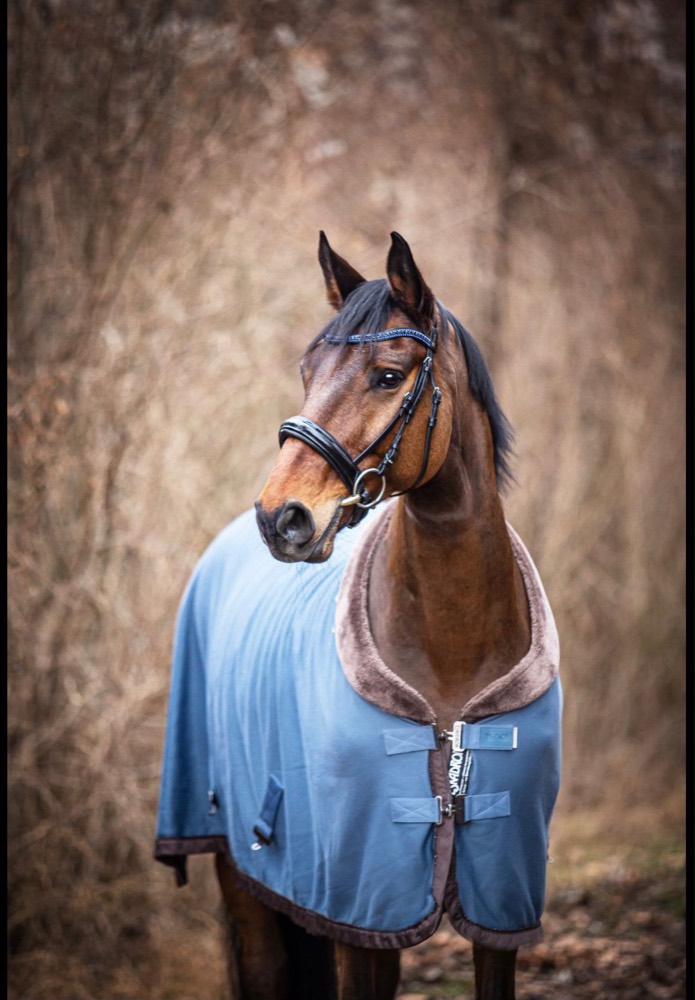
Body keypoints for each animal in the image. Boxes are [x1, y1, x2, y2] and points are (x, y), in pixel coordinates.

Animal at [155, 232, 562, 1000]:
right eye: (308, 370)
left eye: (387, 375)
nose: (280, 518)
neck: (453, 648)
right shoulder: (355, 905)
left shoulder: (498, 902)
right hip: (237, 860)